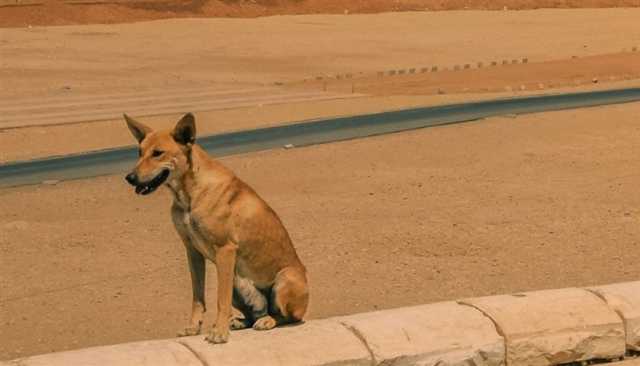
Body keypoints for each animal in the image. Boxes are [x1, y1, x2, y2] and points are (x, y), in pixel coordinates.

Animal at [123, 113, 310, 344]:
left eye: (158, 153)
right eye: (139, 153)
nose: (129, 178)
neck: (189, 193)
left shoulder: (225, 251)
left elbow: (221, 299)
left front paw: (219, 332)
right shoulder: (192, 251)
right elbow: (198, 297)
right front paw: (194, 327)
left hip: (284, 279)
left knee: (288, 317)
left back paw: (267, 321)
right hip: (239, 285)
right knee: (254, 313)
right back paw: (242, 321)